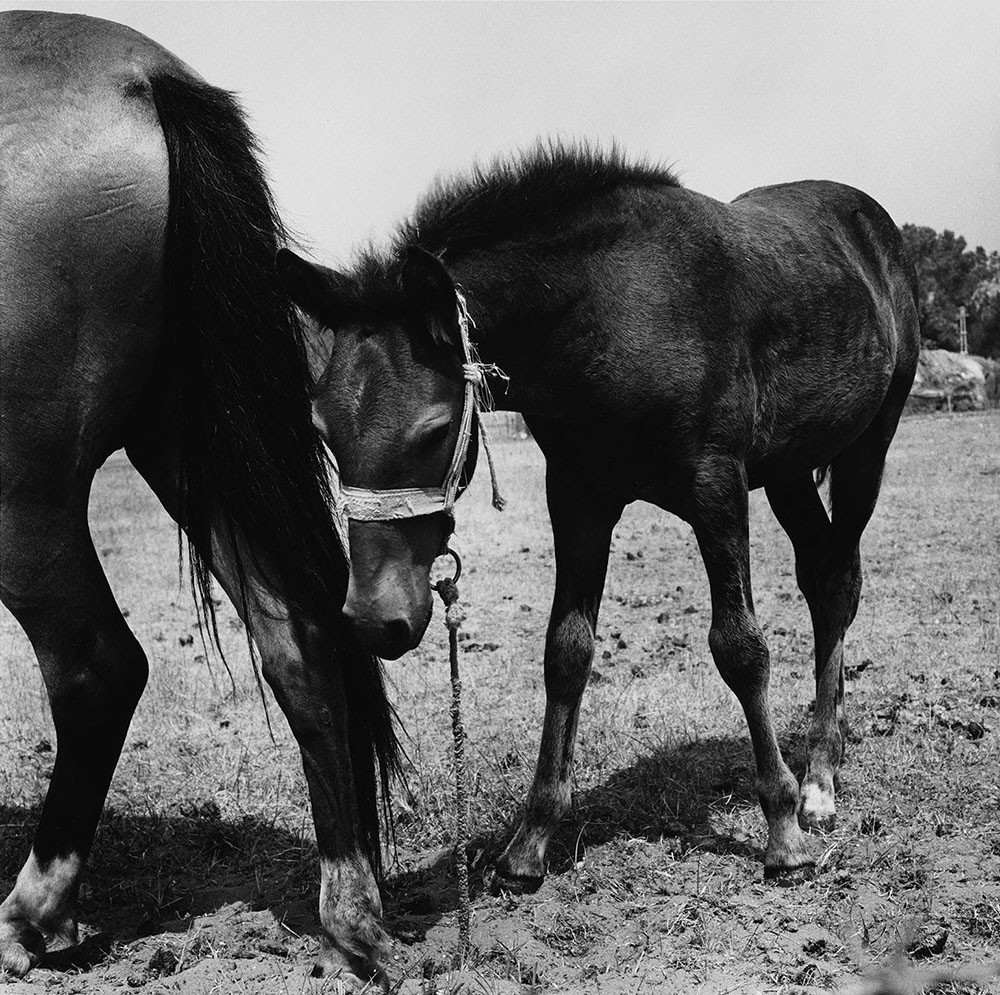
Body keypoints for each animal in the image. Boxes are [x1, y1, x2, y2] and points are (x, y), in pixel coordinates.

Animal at [3, 9, 402, 988]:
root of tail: (145, 79)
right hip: (197, 446)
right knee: (298, 640)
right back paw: (352, 913)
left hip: (28, 498)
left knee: (99, 667)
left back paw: (29, 917)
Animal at [276, 144, 920, 892]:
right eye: (323, 431)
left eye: (434, 430)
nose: (376, 622)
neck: (613, 311)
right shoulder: (579, 497)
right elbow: (567, 651)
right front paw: (529, 842)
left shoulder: (717, 487)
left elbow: (740, 646)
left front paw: (782, 830)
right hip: (790, 467)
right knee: (820, 576)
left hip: (865, 448)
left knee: (839, 581)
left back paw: (818, 782)